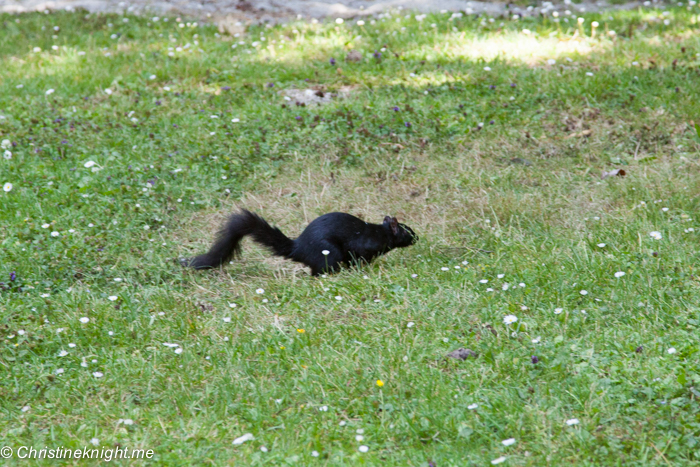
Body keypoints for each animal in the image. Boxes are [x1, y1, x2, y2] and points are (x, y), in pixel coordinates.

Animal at [183, 210, 418, 276]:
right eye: (407, 230)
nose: (417, 237)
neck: (380, 233)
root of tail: (298, 248)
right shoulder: (362, 246)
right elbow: (358, 257)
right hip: (329, 253)